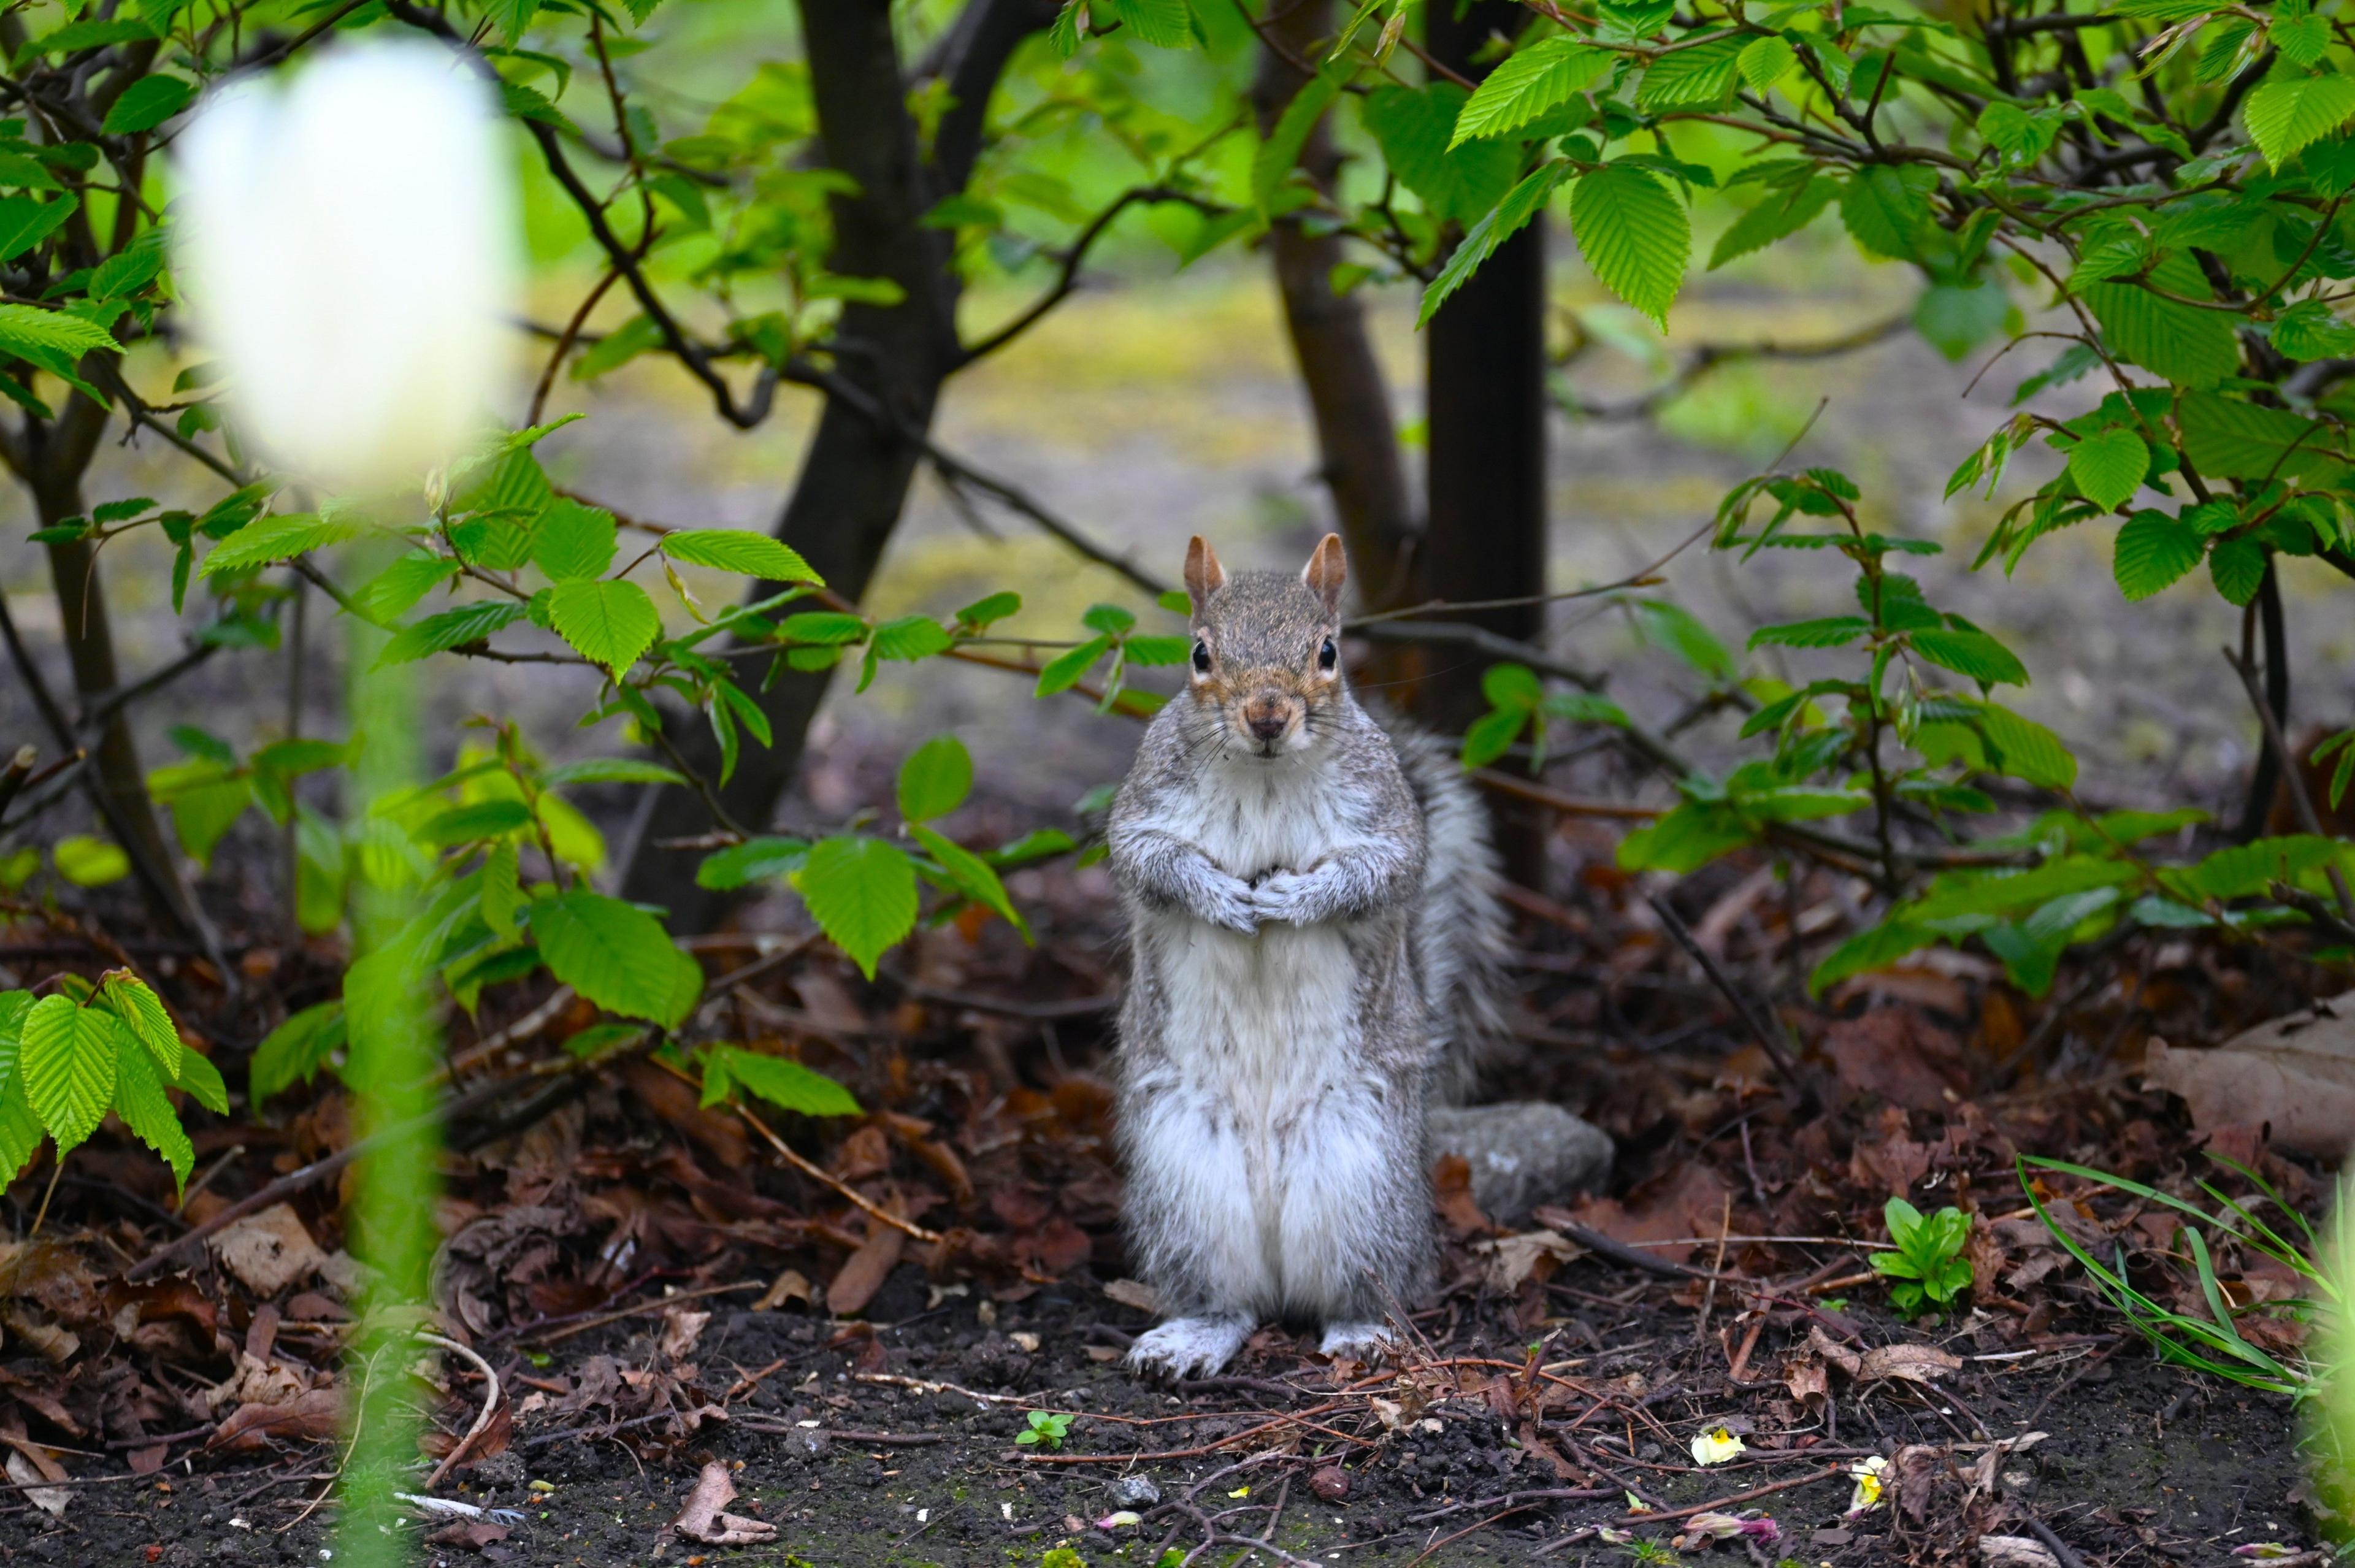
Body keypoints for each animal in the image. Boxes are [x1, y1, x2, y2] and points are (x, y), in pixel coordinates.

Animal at [1106, 532, 1507, 1375]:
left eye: (1328, 652)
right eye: (1199, 654)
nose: (1267, 713)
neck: (1263, 776)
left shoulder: (1389, 820)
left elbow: (1382, 872)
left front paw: (1295, 899)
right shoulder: (1144, 810)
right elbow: (1150, 862)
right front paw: (1217, 895)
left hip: (1360, 1175)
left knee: (1366, 1283)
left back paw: (1360, 1330)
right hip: (1184, 1176)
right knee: (1229, 1297)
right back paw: (1194, 1335)